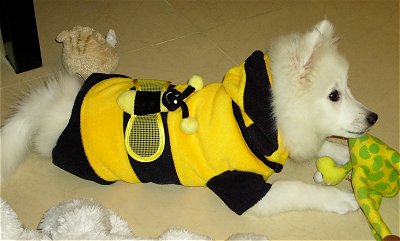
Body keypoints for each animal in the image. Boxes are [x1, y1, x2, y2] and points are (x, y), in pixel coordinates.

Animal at [0, 20, 376, 217]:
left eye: (347, 88)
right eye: (334, 95)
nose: (374, 117)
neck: (258, 117)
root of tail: (57, 103)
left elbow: (325, 143)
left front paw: (346, 153)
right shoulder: (243, 187)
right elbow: (297, 188)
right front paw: (343, 199)